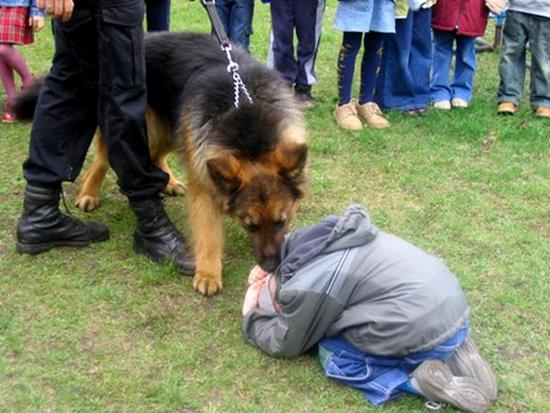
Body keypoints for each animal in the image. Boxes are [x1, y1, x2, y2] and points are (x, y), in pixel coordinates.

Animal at [16, 33, 310, 296]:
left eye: (281, 222)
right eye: (251, 226)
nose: (272, 266)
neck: (247, 125)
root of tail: (145, 38)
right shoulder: (204, 184)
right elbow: (208, 234)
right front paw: (208, 274)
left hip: (172, 129)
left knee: (155, 158)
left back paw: (168, 182)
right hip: (139, 127)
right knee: (103, 158)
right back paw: (89, 193)